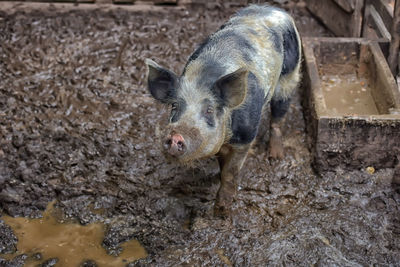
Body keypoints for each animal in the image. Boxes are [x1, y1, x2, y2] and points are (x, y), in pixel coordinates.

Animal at [146, 4, 300, 217]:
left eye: (209, 110)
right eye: (175, 106)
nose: (176, 136)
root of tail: (274, 8)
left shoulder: (245, 137)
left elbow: (230, 173)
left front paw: (221, 211)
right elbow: (222, 165)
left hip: (290, 74)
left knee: (279, 113)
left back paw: (276, 157)